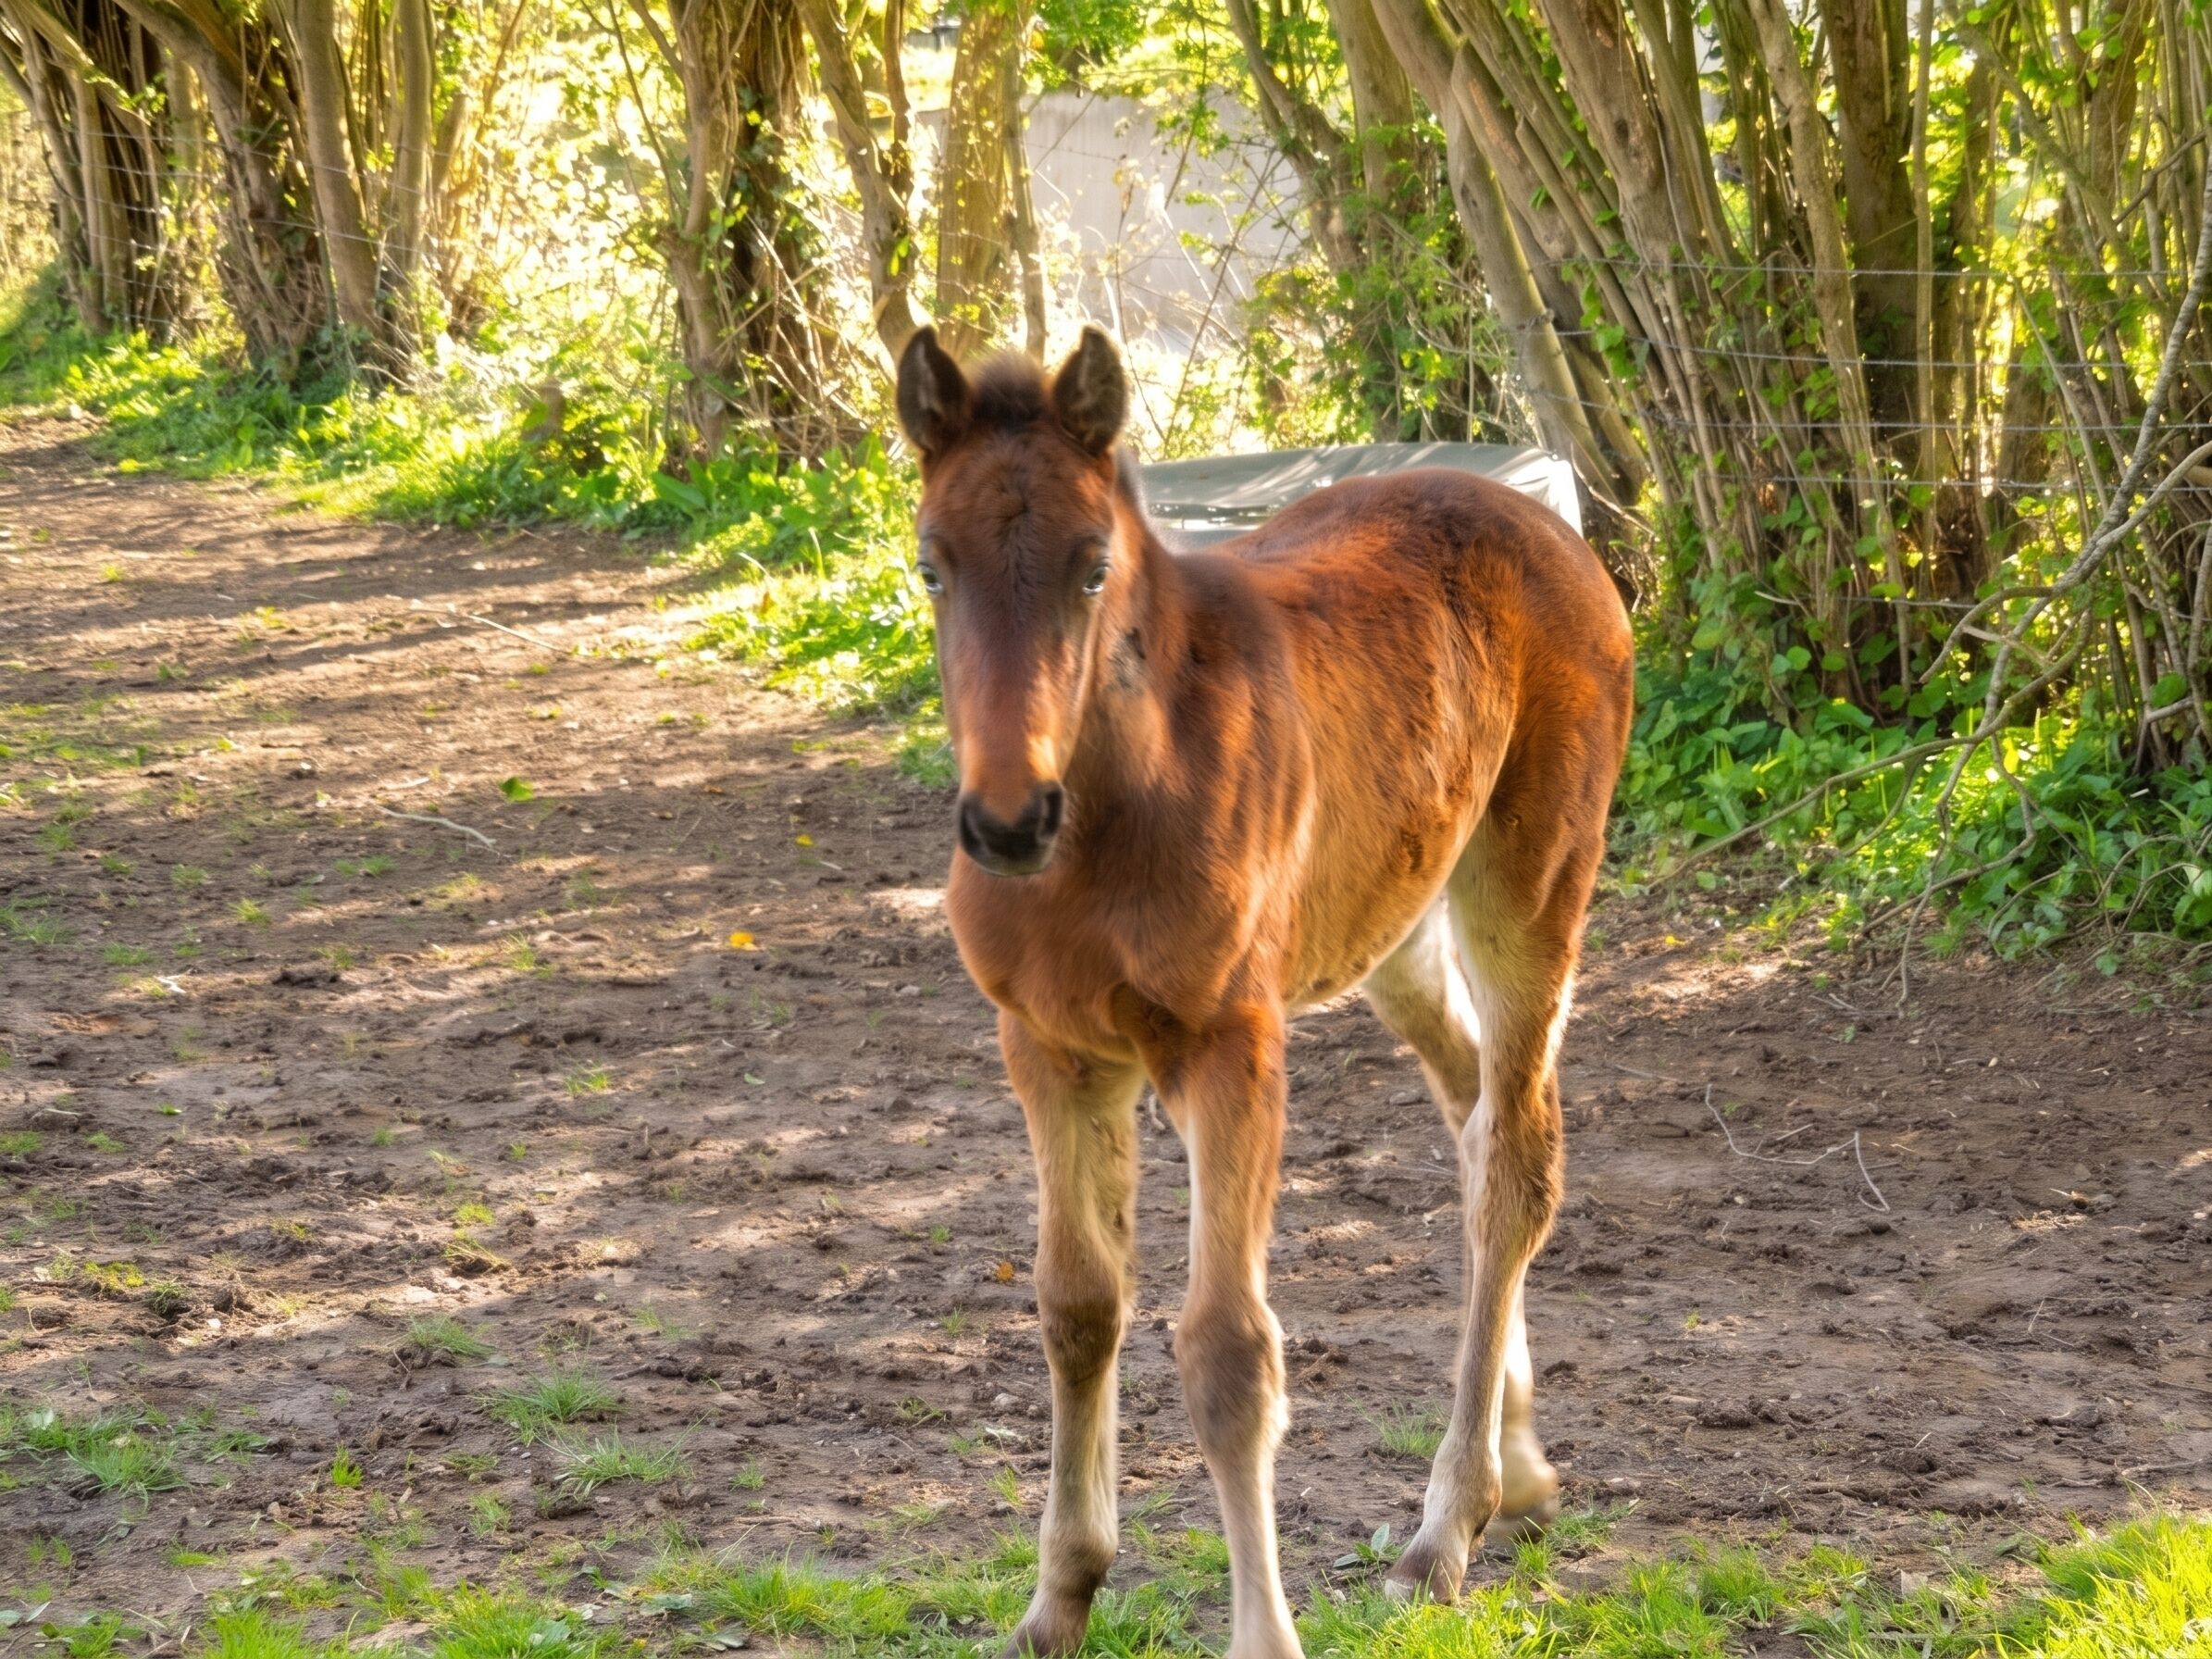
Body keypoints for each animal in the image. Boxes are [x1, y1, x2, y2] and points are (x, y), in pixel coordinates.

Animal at [894, 323, 1633, 1659]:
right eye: (931, 566)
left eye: (1092, 568)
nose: (1008, 819)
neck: (1110, 816)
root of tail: (1546, 524)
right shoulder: (1049, 1050)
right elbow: (1076, 1306)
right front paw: (1057, 1596)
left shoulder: (1225, 1047)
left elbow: (1227, 1354)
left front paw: (1260, 1632)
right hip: (1390, 930)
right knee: (1473, 1122)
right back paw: (1517, 1464)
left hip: (1526, 892)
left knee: (1516, 1165)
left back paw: (1444, 1528)